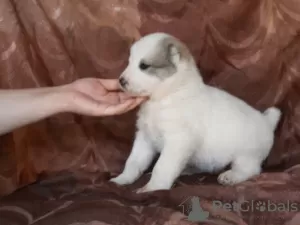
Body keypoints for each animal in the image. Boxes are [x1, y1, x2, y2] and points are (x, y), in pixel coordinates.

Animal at [109, 32, 282, 192]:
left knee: (250, 170)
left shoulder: (177, 141)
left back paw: (231, 176)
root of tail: (267, 121)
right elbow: (134, 161)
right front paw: (122, 179)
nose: (121, 81)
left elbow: (161, 167)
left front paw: (153, 188)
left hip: (246, 156)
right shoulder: (145, 138)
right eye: (130, 62)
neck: (168, 95)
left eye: (144, 66)